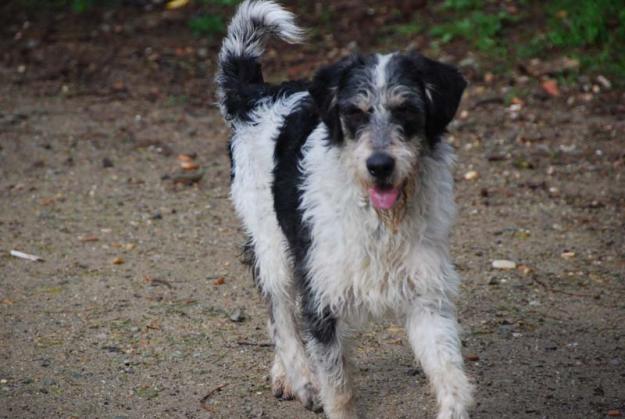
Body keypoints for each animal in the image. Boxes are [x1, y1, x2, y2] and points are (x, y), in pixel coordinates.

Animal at [216, 1, 472, 418]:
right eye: (355, 112)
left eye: (407, 109)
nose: (380, 166)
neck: (380, 222)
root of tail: (258, 95)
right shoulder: (320, 295)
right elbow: (337, 388)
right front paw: (317, 386)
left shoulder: (426, 295)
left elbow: (451, 376)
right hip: (274, 249)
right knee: (281, 316)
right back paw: (300, 378)